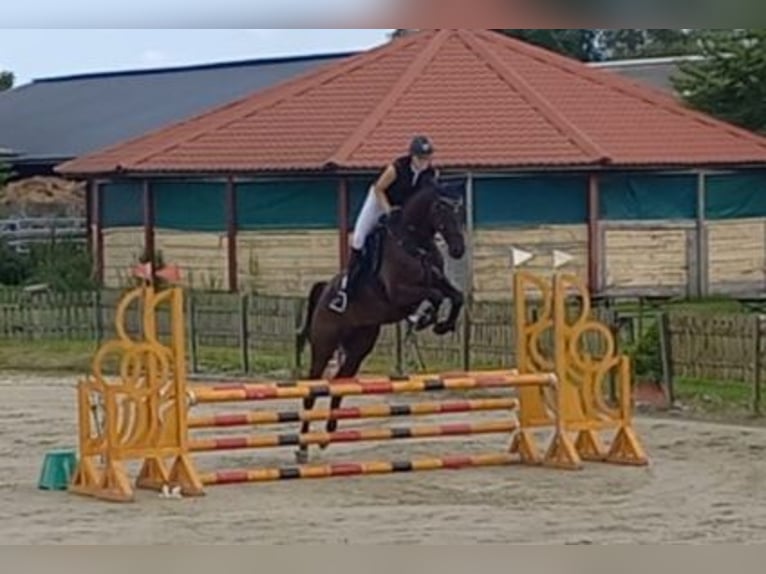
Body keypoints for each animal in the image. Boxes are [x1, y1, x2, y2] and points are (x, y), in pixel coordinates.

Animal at [296, 182, 468, 466]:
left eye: (461, 211)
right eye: (442, 210)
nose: (458, 250)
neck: (414, 244)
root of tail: (323, 293)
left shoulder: (437, 280)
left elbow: (456, 296)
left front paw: (441, 325)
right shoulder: (400, 293)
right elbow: (434, 295)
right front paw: (424, 319)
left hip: (359, 347)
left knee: (340, 383)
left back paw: (328, 434)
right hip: (324, 345)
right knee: (312, 390)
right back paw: (302, 448)